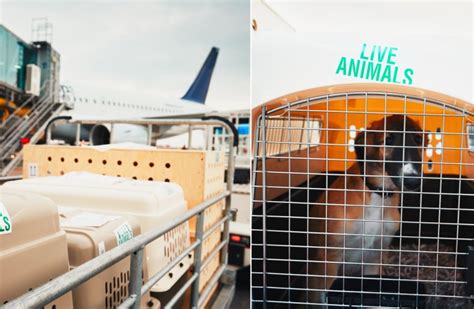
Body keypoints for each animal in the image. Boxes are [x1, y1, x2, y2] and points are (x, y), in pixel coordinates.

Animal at [308, 114, 426, 304]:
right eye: (388, 140)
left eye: (418, 140)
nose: (413, 182)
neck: (378, 194)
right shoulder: (329, 260)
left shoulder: (374, 258)